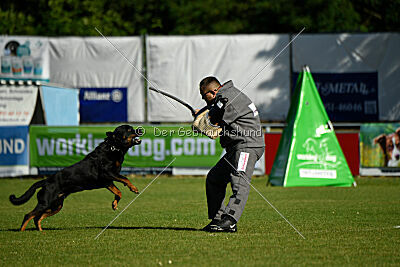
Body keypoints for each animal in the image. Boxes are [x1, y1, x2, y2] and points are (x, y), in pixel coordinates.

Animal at [9, 124, 144, 231]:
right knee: (28, 215)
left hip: (56, 205)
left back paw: (41, 231)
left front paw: (114, 204)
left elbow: (118, 192)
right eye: (129, 129)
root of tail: (46, 181)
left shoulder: (107, 182)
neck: (113, 147)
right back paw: (21, 232)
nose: (140, 130)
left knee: (37, 217)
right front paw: (133, 188)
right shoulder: (107, 173)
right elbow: (125, 179)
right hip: (45, 202)